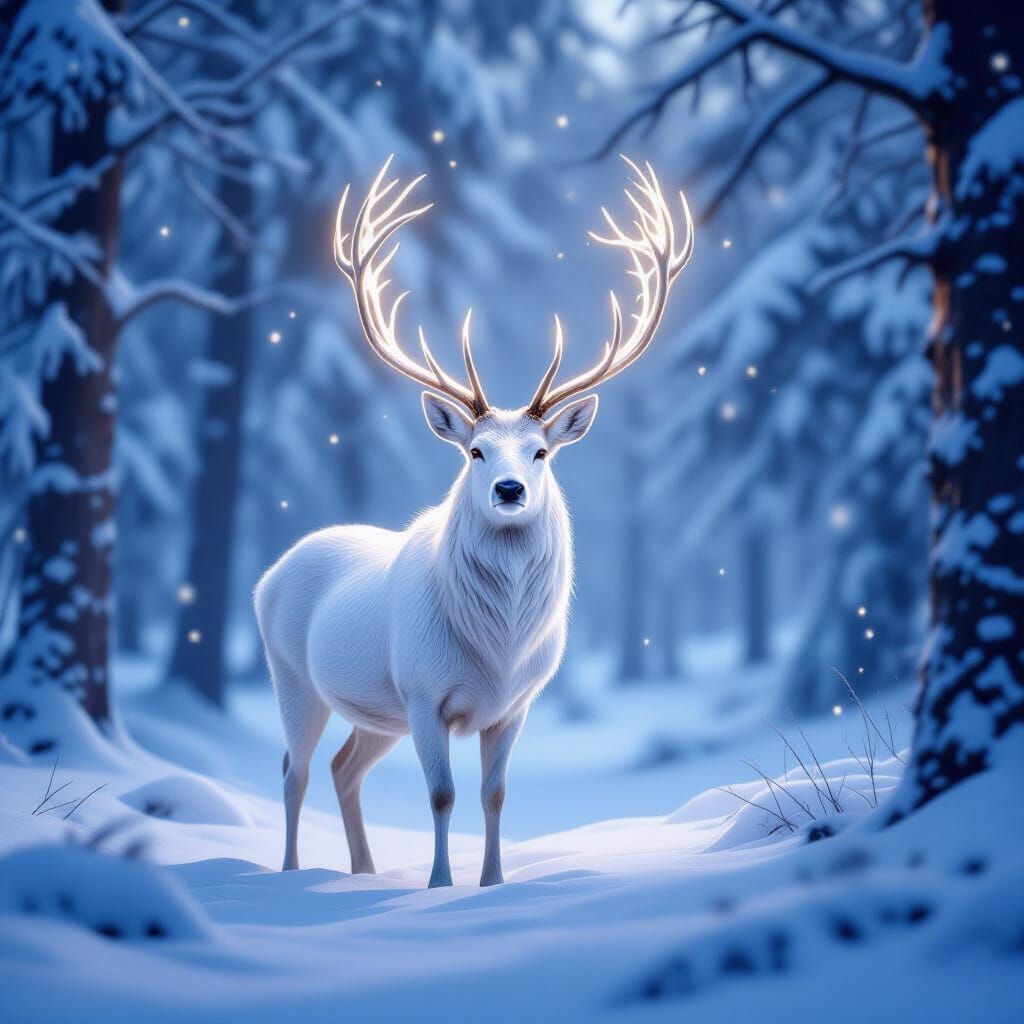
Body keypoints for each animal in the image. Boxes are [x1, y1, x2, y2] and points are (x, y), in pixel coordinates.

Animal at [254, 155, 694, 887]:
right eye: (475, 450)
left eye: (542, 451)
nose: (509, 489)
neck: (499, 648)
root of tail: (268, 575)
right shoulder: (424, 691)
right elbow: (442, 794)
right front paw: (439, 885)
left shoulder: (514, 705)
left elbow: (494, 794)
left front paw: (492, 884)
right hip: (292, 675)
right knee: (295, 770)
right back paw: (290, 872)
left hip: (377, 714)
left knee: (344, 769)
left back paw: (364, 873)